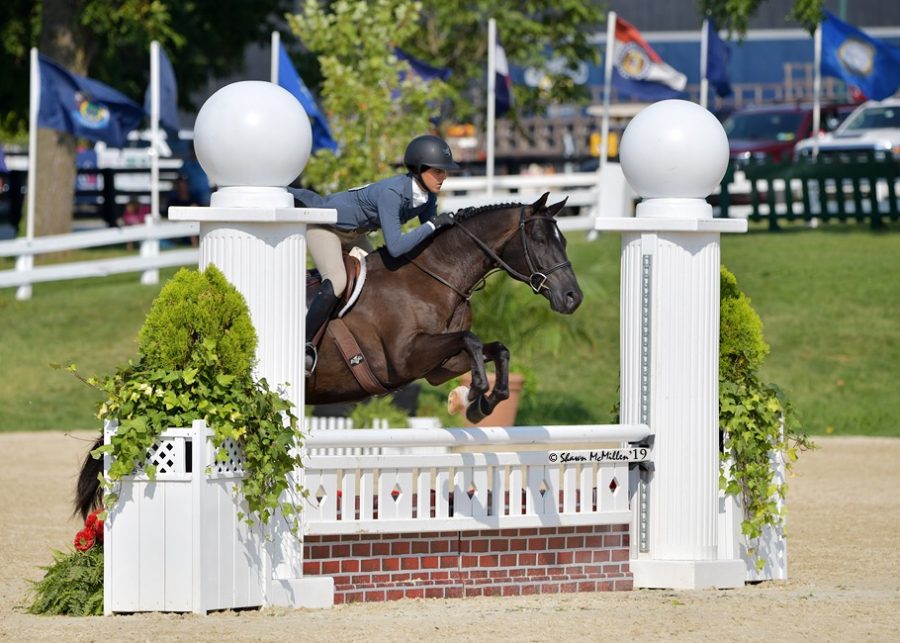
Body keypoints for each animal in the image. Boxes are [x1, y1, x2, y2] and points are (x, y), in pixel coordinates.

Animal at [75, 192, 584, 520]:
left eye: (564, 241)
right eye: (541, 241)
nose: (572, 298)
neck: (434, 276)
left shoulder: (437, 366)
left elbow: (494, 347)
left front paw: (483, 401)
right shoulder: (407, 358)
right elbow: (476, 342)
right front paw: (476, 397)